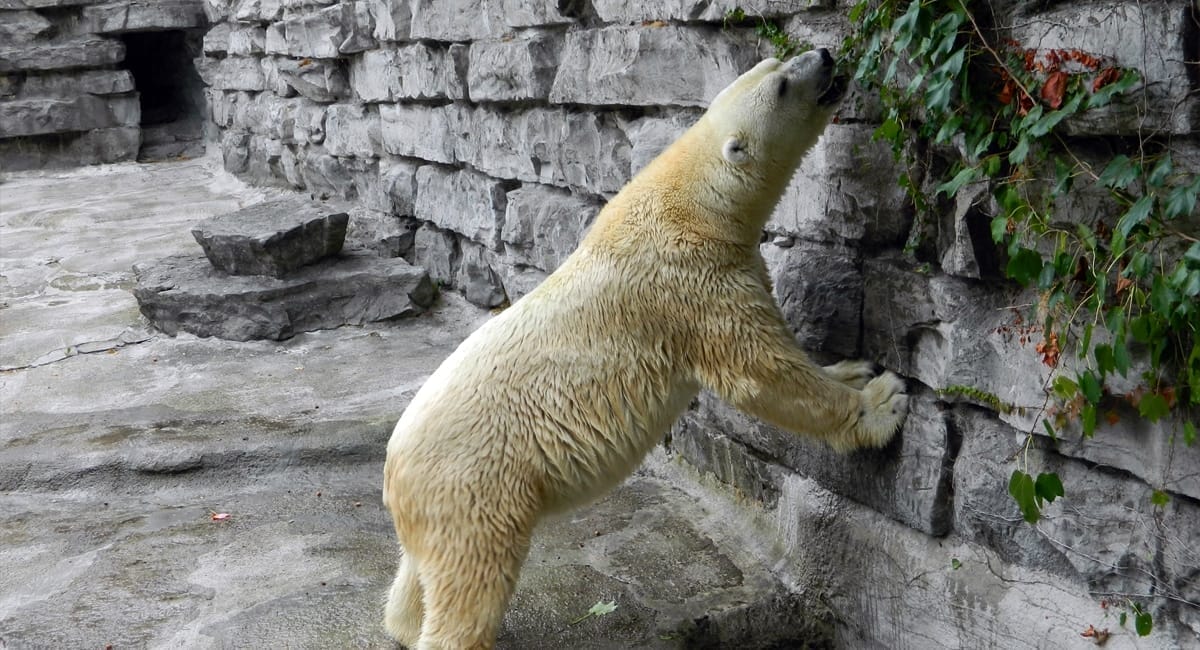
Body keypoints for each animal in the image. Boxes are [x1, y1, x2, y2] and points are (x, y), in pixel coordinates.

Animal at [384, 50, 907, 650]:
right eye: (780, 85)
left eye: (776, 62)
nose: (823, 56)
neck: (692, 203)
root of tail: (393, 475)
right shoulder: (693, 285)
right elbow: (760, 371)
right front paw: (882, 401)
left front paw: (853, 369)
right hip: (476, 485)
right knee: (472, 578)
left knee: (420, 571)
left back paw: (402, 622)